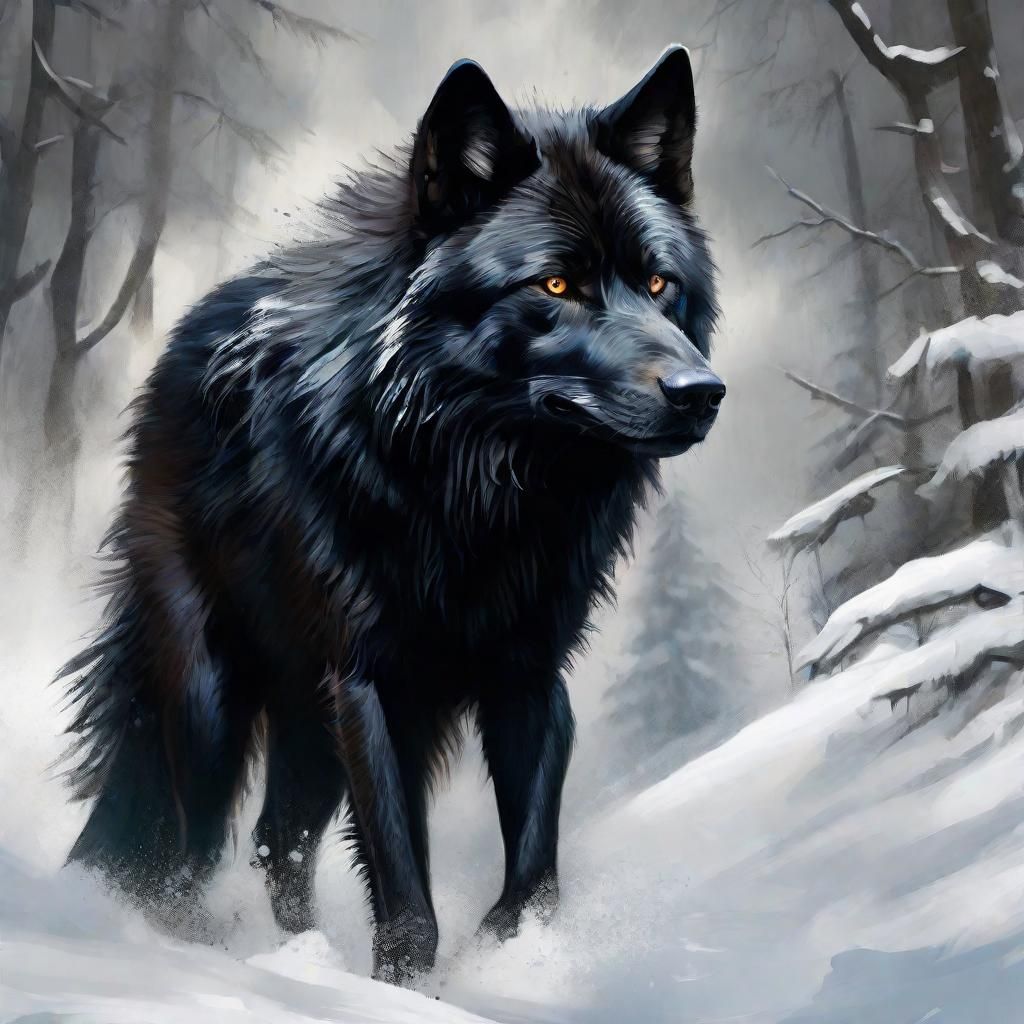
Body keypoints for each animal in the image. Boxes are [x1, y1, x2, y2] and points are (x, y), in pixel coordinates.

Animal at [61, 45, 724, 982]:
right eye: (557, 283)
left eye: (660, 282)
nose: (702, 393)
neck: (478, 491)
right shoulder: (371, 683)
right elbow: (407, 892)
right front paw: (405, 986)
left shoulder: (528, 676)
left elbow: (533, 874)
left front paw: (511, 962)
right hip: (213, 699)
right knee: (190, 856)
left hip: (307, 719)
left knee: (275, 838)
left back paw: (299, 954)